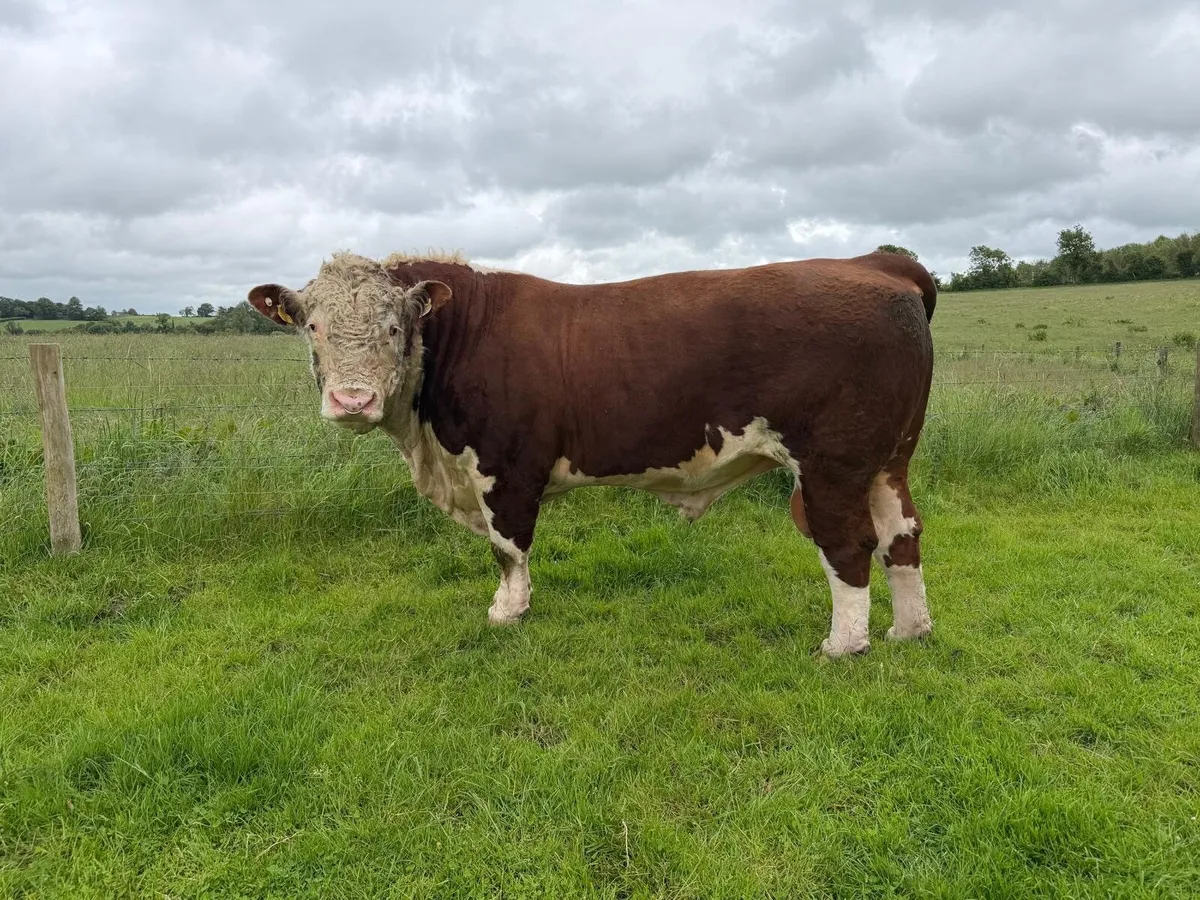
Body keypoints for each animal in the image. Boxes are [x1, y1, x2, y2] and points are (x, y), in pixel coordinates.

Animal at [246, 249, 936, 657]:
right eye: (313, 327)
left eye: (395, 327)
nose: (353, 400)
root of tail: (876, 263)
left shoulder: (505, 467)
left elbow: (508, 550)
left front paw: (507, 613)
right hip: (888, 461)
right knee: (901, 535)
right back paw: (907, 631)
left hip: (832, 464)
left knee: (848, 545)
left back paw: (844, 645)